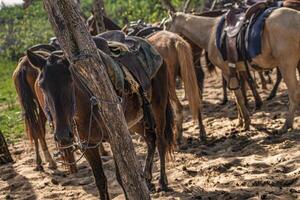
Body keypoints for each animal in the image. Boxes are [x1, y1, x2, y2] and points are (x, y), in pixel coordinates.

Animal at [165, 8, 300, 133]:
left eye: (166, 24)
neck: (210, 33)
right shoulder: (236, 70)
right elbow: (238, 97)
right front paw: (241, 122)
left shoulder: (226, 71)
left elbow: (238, 97)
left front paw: (246, 123)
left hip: (286, 65)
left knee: (294, 93)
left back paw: (286, 125)